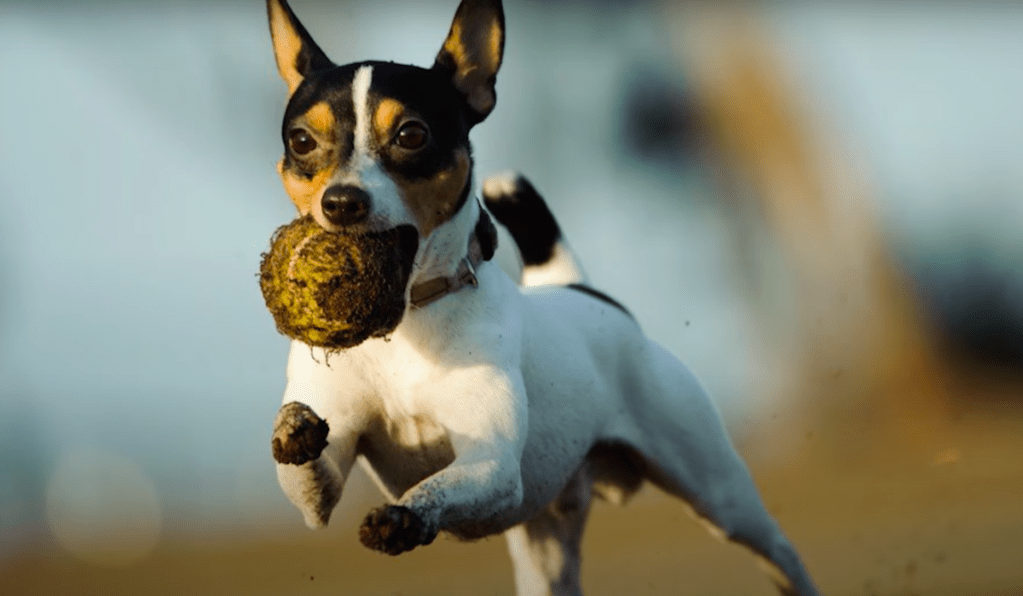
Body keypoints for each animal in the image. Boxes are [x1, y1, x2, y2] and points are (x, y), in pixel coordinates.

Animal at [263, 1, 822, 596]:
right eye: (301, 141)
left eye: (412, 134)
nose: (342, 201)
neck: (407, 324)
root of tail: (574, 285)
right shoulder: (326, 481)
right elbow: (309, 477)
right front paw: (292, 430)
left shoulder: (492, 466)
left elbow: (437, 488)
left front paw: (407, 515)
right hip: (547, 548)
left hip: (719, 494)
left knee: (777, 550)